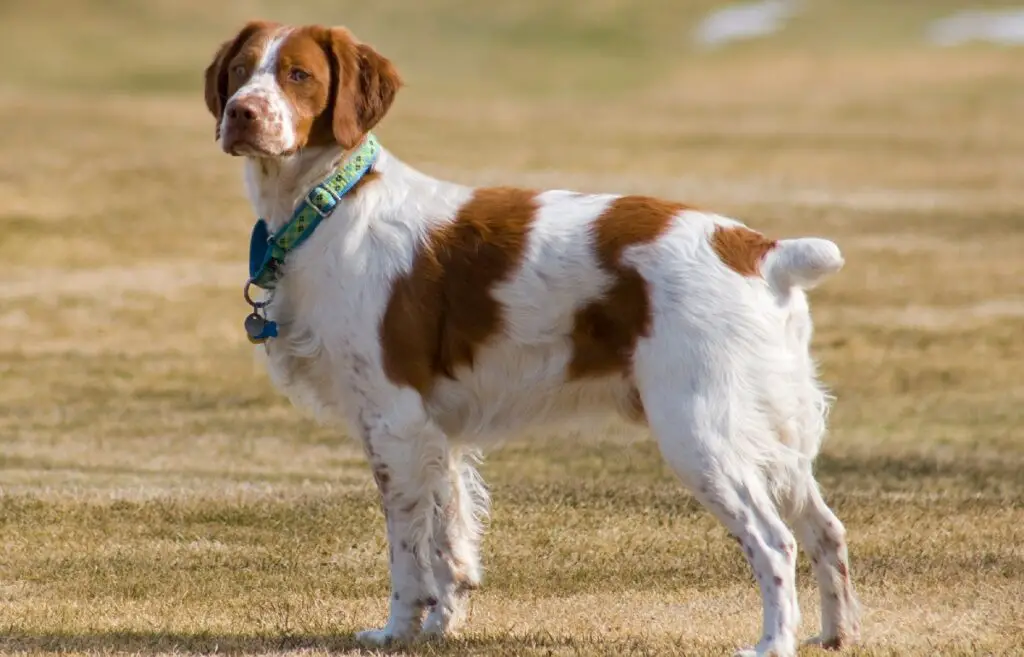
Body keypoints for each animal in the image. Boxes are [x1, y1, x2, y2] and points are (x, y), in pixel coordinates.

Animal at [203, 20, 860, 654]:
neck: (330, 205)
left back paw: (773, 643)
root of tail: (760, 250)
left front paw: (396, 631)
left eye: (298, 75)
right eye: (240, 70)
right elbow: (450, 541)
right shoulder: (437, 434)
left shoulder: (394, 421)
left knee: (775, 542)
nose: (241, 113)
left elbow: (408, 551)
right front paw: (441, 627)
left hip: (700, 431)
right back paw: (836, 634)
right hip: (772, 433)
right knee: (826, 529)